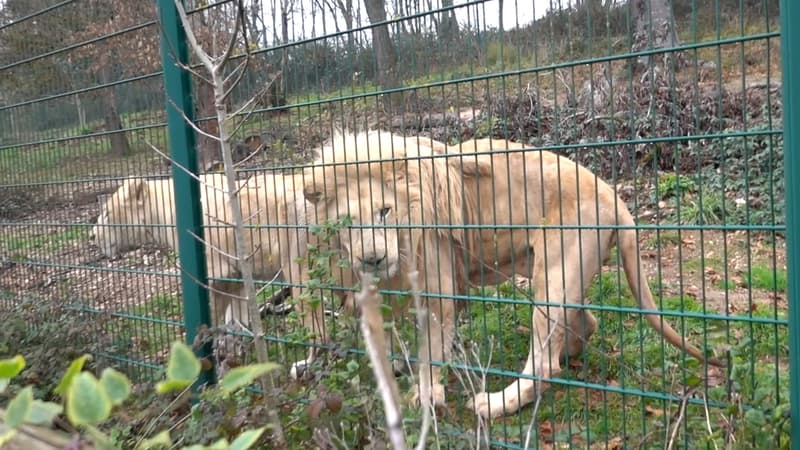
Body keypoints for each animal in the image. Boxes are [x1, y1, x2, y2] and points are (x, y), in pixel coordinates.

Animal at [302, 130, 723, 419]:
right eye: (347, 221)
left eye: (385, 210)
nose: (373, 258)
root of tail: (614, 197)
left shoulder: (439, 289)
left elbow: (430, 351)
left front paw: (426, 396)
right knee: (582, 324)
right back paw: (568, 350)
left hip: (553, 272)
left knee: (543, 364)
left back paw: (495, 404)